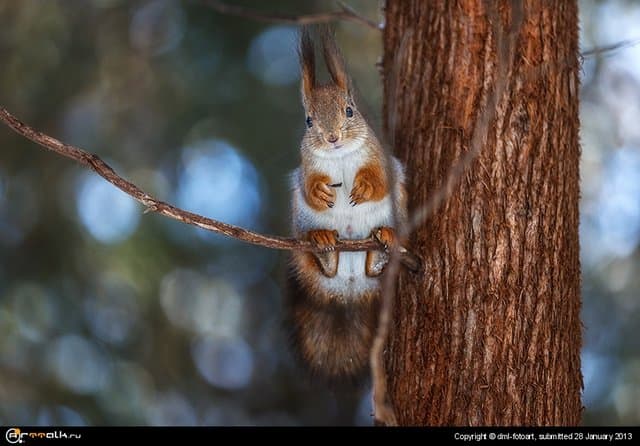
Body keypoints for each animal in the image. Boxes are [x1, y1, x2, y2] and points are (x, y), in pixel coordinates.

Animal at [286, 27, 408, 384]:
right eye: (308, 120)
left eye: (350, 110)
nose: (333, 138)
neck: (340, 157)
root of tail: (350, 288)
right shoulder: (307, 167)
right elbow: (309, 184)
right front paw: (321, 192)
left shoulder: (380, 159)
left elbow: (379, 180)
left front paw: (364, 187)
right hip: (302, 220)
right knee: (323, 267)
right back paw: (324, 246)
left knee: (376, 266)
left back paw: (384, 243)